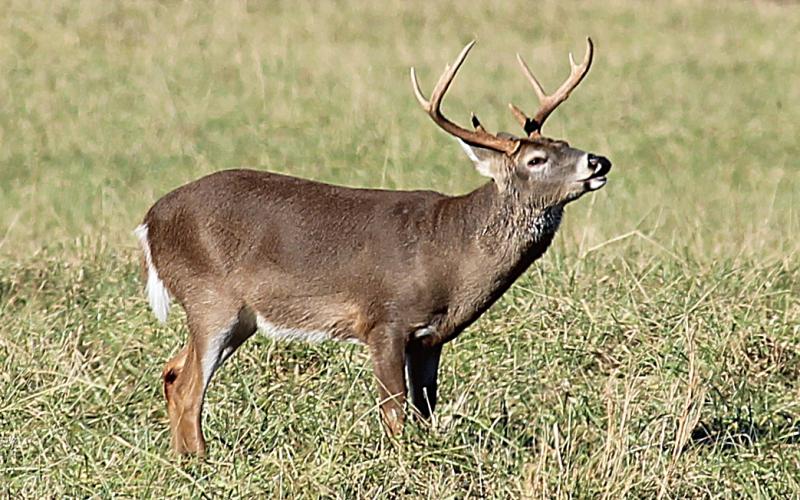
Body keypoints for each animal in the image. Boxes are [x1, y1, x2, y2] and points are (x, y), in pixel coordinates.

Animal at [135, 38, 611, 456]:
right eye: (536, 160)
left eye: (564, 143)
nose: (599, 161)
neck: (451, 253)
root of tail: (149, 222)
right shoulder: (384, 321)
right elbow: (394, 413)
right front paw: (401, 463)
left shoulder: (430, 338)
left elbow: (423, 410)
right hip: (210, 297)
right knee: (190, 386)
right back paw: (202, 462)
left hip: (239, 318)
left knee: (172, 372)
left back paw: (183, 459)